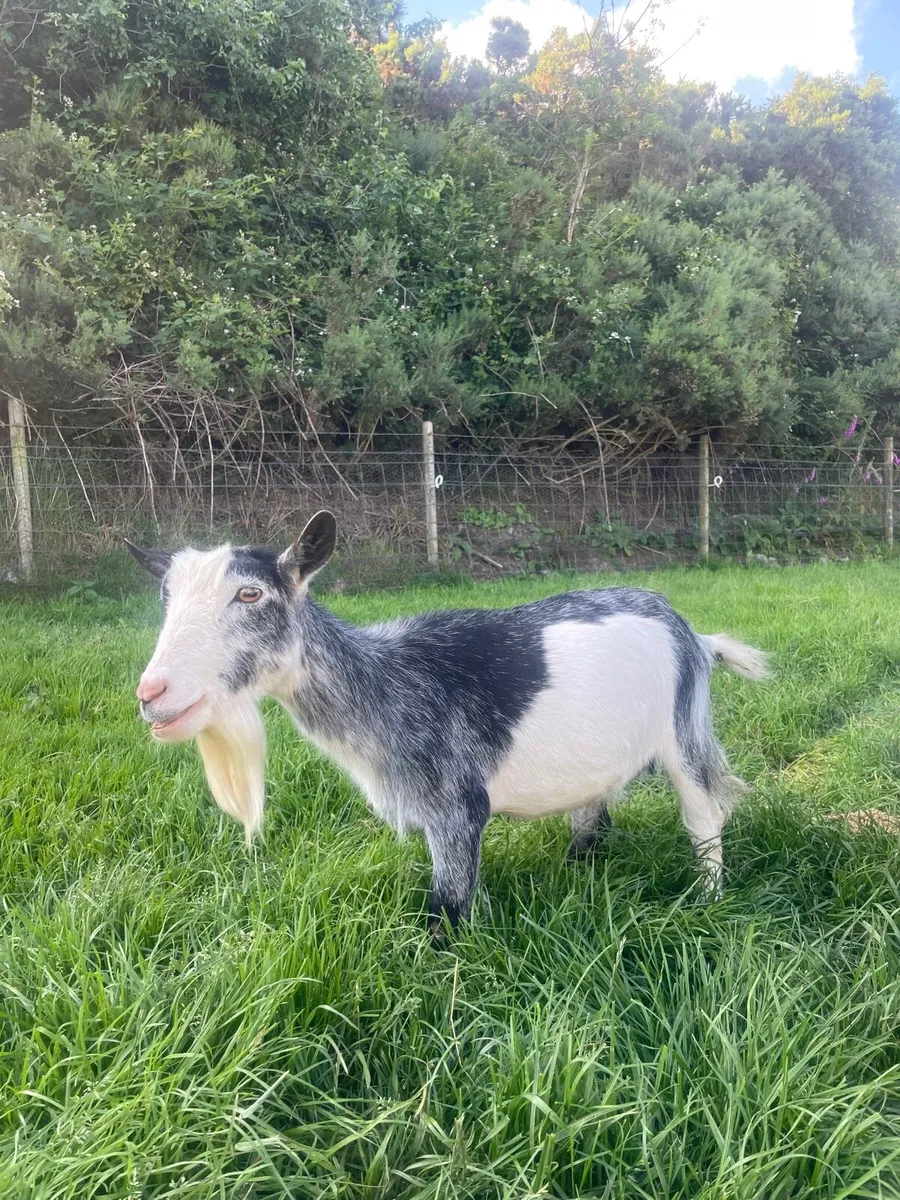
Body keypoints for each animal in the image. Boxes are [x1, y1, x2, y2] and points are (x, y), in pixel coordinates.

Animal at [127, 512, 770, 931]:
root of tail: (694, 634)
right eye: (166, 599)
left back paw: (708, 899)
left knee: (704, 814)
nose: (152, 693)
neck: (389, 682)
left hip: (683, 728)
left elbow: (448, 911)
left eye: (251, 595)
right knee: (592, 817)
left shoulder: (456, 807)